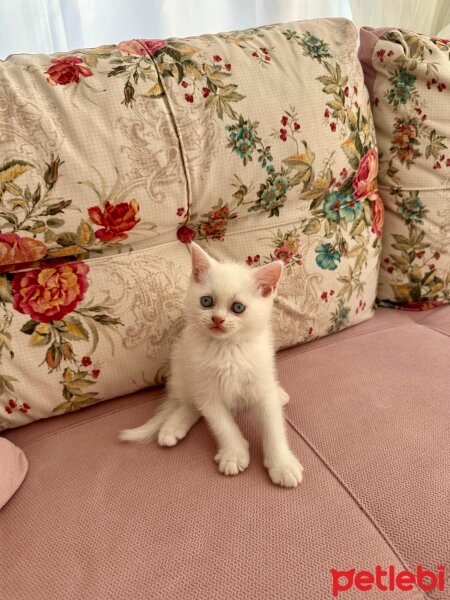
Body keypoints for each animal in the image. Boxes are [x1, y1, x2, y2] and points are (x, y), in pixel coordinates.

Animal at [118, 240, 302, 488]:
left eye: (237, 307)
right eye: (206, 301)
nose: (217, 319)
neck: (227, 350)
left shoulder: (260, 382)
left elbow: (273, 426)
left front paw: (282, 464)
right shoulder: (207, 391)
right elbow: (222, 425)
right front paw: (234, 454)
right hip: (182, 370)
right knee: (189, 404)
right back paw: (172, 428)